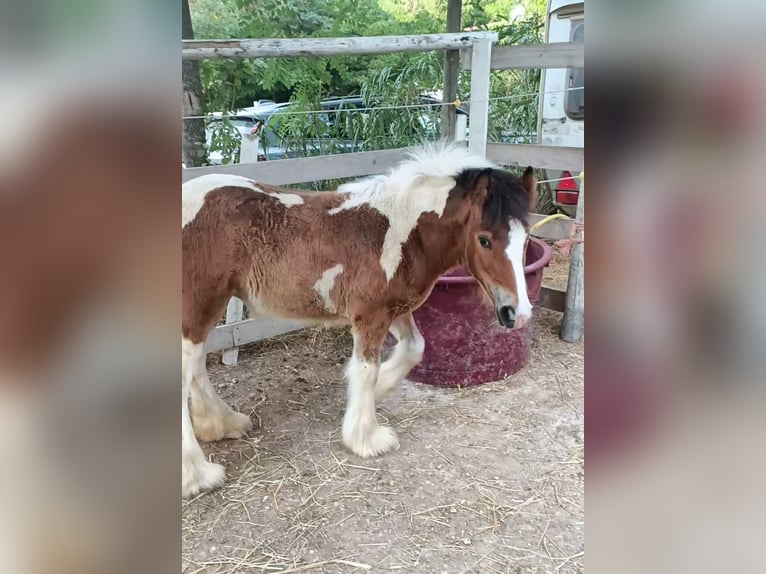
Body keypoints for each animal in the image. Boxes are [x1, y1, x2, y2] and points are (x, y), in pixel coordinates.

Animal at [182, 145, 536, 500]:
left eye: (526, 238)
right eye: (484, 239)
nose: (517, 314)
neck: (401, 233)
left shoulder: (395, 310)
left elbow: (414, 348)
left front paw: (374, 395)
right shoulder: (370, 315)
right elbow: (367, 369)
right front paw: (367, 438)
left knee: (197, 367)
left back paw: (223, 425)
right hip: (199, 306)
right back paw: (199, 475)